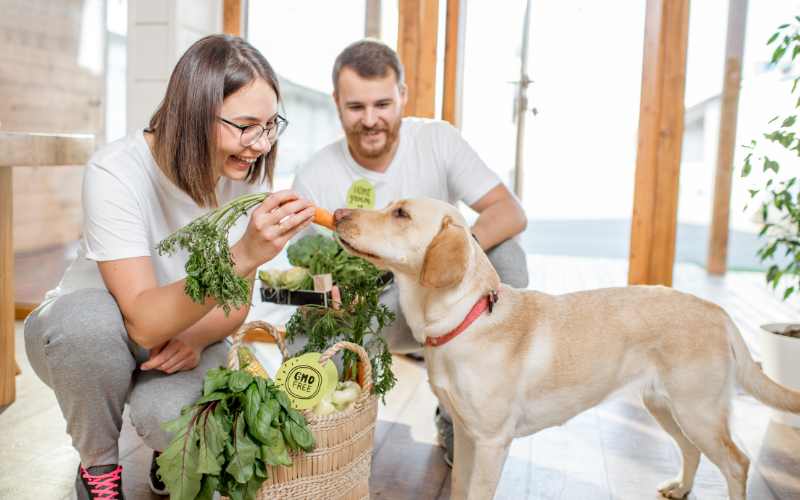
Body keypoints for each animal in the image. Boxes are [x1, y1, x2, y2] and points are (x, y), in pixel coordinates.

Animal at [332, 198, 800, 500]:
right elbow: (460, 489)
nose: (337, 212)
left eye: (401, 213)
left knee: (737, 463)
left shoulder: (491, 443)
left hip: (697, 411)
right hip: (665, 406)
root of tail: (717, 310)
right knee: (690, 451)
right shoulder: (466, 437)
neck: (466, 318)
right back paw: (681, 487)